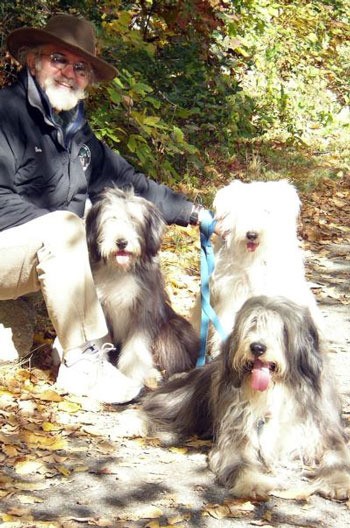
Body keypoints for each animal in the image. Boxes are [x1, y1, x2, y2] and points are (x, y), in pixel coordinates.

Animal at [142, 296, 350, 500]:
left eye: (281, 328)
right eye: (252, 323)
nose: (257, 347)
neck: (275, 393)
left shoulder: (324, 432)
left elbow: (338, 457)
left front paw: (338, 483)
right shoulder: (237, 434)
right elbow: (241, 463)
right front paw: (253, 483)